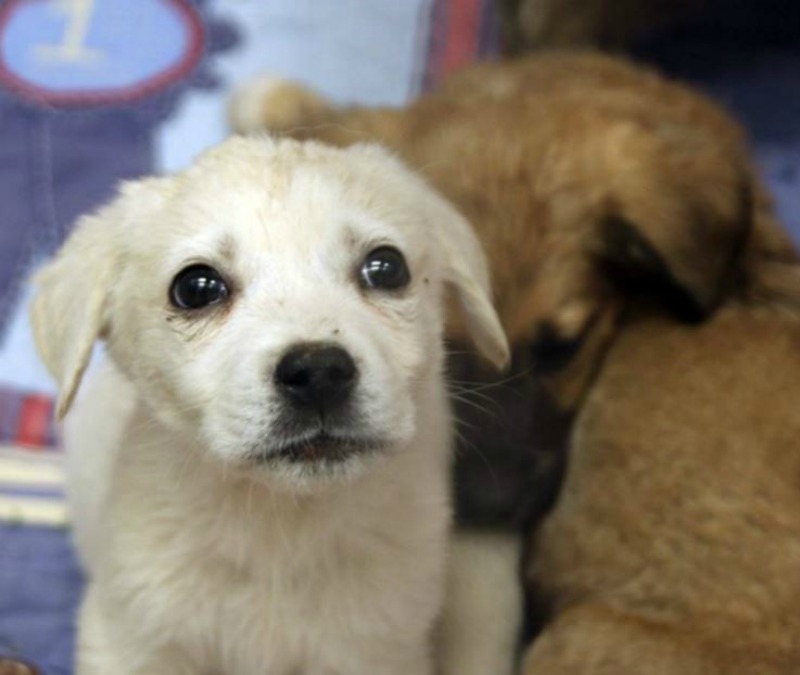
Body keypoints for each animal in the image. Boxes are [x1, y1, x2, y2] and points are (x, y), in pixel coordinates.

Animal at [31, 137, 510, 675]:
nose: (318, 372)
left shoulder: (380, 650)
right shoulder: (129, 641)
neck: (280, 524)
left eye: (386, 268)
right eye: (196, 288)